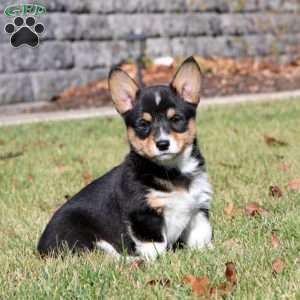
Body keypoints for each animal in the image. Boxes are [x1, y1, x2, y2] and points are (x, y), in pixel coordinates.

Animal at [37, 56, 212, 260]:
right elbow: (155, 245)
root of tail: (40, 248)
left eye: (176, 119)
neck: (173, 170)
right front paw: (156, 261)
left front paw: (207, 251)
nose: (162, 144)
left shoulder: (198, 207)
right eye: (143, 124)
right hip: (84, 240)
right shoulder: (143, 213)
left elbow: (201, 235)